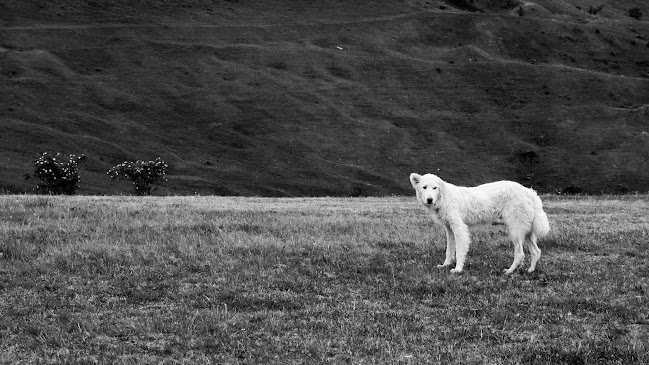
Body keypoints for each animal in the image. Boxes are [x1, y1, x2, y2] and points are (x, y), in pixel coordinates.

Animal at [410, 173, 548, 272]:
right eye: (424, 187)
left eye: (435, 188)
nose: (429, 199)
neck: (444, 197)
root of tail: (528, 191)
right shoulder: (449, 229)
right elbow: (449, 250)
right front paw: (445, 265)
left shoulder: (460, 228)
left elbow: (459, 251)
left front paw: (458, 269)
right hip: (526, 231)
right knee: (536, 252)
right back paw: (530, 270)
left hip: (515, 230)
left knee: (520, 254)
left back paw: (509, 271)